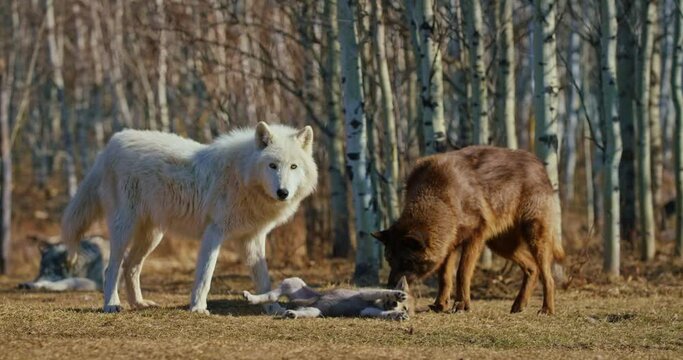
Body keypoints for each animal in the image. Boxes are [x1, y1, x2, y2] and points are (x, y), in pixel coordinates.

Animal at [61, 121, 318, 312]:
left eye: (293, 167)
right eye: (272, 165)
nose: (283, 192)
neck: (242, 177)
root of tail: (112, 143)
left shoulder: (252, 239)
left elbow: (264, 280)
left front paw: (273, 308)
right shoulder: (214, 232)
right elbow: (206, 274)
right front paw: (198, 307)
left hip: (152, 236)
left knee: (130, 266)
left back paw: (139, 303)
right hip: (125, 229)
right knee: (111, 268)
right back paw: (112, 304)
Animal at [374, 146, 568, 316]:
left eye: (406, 261)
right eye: (389, 260)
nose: (389, 288)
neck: (442, 197)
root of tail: (539, 165)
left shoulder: (474, 238)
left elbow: (462, 273)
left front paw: (461, 305)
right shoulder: (449, 246)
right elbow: (444, 277)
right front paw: (440, 305)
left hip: (534, 238)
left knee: (548, 278)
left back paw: (546, 310)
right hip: (501, 246)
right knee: (532, 268)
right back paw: (519, 305)